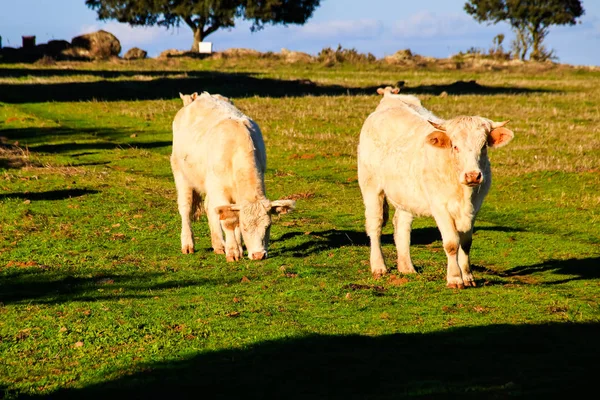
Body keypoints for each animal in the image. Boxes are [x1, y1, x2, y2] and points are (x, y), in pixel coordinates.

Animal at [171, 92, 296, 260]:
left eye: (268, 226)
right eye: (245, 227)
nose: (259, 255)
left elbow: (231, 216)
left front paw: (238, 248)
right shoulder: (219, 188)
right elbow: (230, 220)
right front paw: (233, 252)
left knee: (211, 208)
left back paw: (218, 245)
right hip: (181, 174)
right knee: (185, 208)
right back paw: (188, 244)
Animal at [358, 87, 512, 288]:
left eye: (484, 145)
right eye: (455, 146)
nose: (472, 175)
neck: (463, 193)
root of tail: (389, 98)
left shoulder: (475, 208)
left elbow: (466, 242)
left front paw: (468, 276)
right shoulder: (440, 207)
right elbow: (452, 243)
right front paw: (455, 278)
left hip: (406, 194)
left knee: (402, 225)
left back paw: (406, 267)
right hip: (371, 186)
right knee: (375, 225)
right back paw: (378, 266)